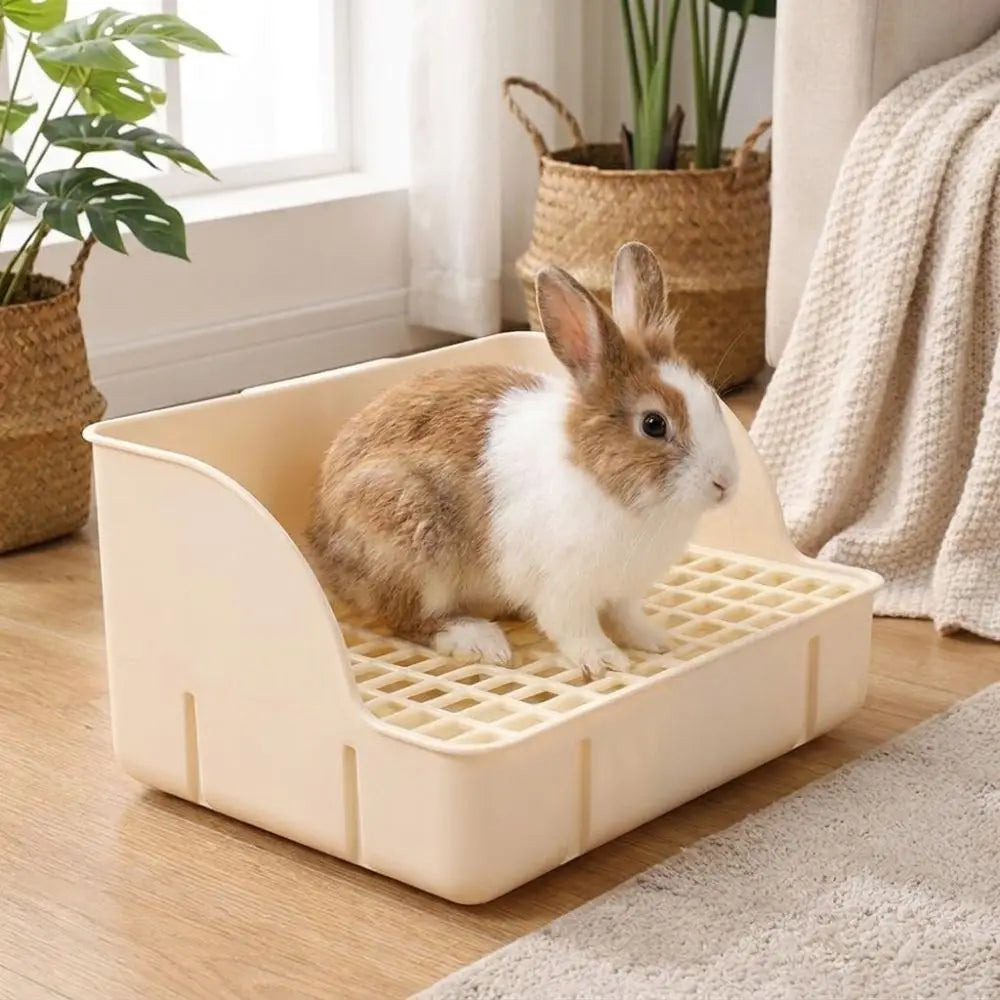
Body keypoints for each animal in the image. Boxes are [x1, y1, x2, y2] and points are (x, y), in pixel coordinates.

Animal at [306, 242, 738, 679]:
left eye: (709, 398)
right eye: (654, 424)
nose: (725, 483)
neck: (599, 479)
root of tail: (322, 549)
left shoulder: (624, 591)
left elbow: (626, 617)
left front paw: (655, 641)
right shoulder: (562, 588)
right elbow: (576, 628)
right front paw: (604, 660)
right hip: (410, 543)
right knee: (409, 619)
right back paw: (479, 640)